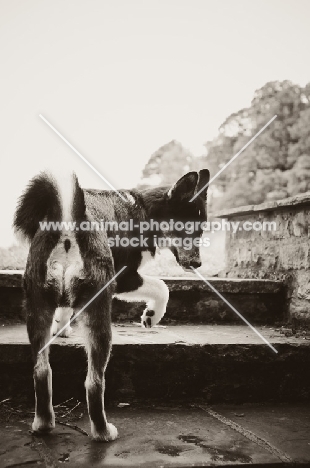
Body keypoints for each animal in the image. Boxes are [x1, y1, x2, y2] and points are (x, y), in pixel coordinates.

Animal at [13, 169, 209, 442]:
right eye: (188, 227)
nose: (198, 264)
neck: (143, 211)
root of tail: (68, 222)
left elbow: (65, 307)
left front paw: (62, 328)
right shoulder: (124, 277)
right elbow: (162, 287)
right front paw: (152, 315)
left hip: (37, 306)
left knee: (41, 372)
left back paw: (43, 424)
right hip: (99, 310)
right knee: (94, 382)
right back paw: (103, 432)